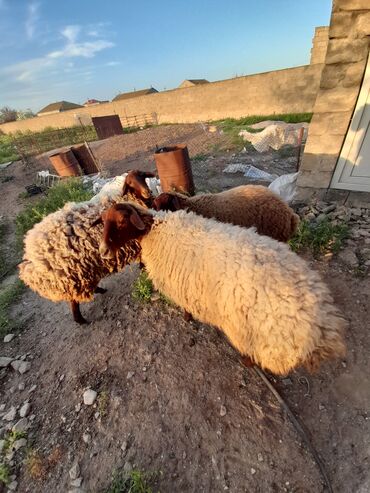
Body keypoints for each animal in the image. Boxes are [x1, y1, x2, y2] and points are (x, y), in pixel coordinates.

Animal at [18, 171, 155, 324]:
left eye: (143, 176)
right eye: (130, 183)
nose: (147, 192)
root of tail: (32, 261)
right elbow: (142, 257)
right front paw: (143, 268)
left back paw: (99, 290)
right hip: (72, 279)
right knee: (74, 302)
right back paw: (81, 319)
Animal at [98, 202, 346, 374]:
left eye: (121, 221)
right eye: (103, 221)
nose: (102, 251)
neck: (156, 231)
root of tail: (322, 325)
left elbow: (185, 308)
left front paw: (187, 317)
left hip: (259, 338)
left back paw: (246, 361)